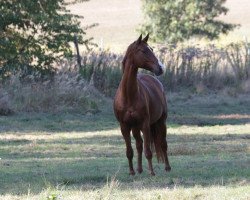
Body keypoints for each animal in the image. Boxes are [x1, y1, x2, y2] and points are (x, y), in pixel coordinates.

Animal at [114, 34, 171, 175]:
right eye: (144, 51)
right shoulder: (124, 126)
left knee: (163, 144)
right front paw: (131, 172)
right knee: (139, 145)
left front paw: (152, 172)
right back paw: (139, 169)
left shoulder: (145, 125)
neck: (129, 95)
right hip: (135, 127)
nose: (161, 68)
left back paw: (167, 167)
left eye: (151, 49)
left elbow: (149, 151)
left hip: (161, 122)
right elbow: (130, 151)